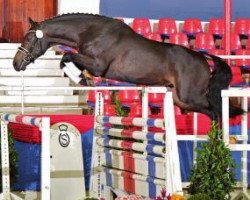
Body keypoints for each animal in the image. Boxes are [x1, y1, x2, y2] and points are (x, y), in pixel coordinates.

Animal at [12, 14, 243, 121]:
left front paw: (81, 78)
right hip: (181, 99)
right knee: (211, 111)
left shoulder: (98, 65)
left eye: (29, 38)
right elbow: (67, 60)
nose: (15, 63)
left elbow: (67, 56)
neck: (90, 31)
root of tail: (203, 58)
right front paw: (83, 78)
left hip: (190, 96)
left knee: (215, 110)